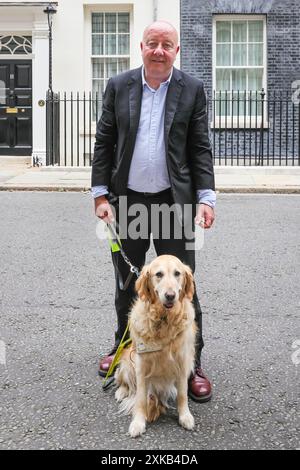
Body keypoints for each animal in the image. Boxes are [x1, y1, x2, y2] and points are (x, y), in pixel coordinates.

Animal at [115, 253, 197, 436]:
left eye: (177, 273)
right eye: (158, 274)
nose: (170, 295)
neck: (164, 319)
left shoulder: (183, 362)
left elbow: (183, 394)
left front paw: (185, 416)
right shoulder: (141, 364)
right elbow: (140, 398)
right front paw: (138, 423)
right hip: (126, 359)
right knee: (124, 381)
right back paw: (121, 391)